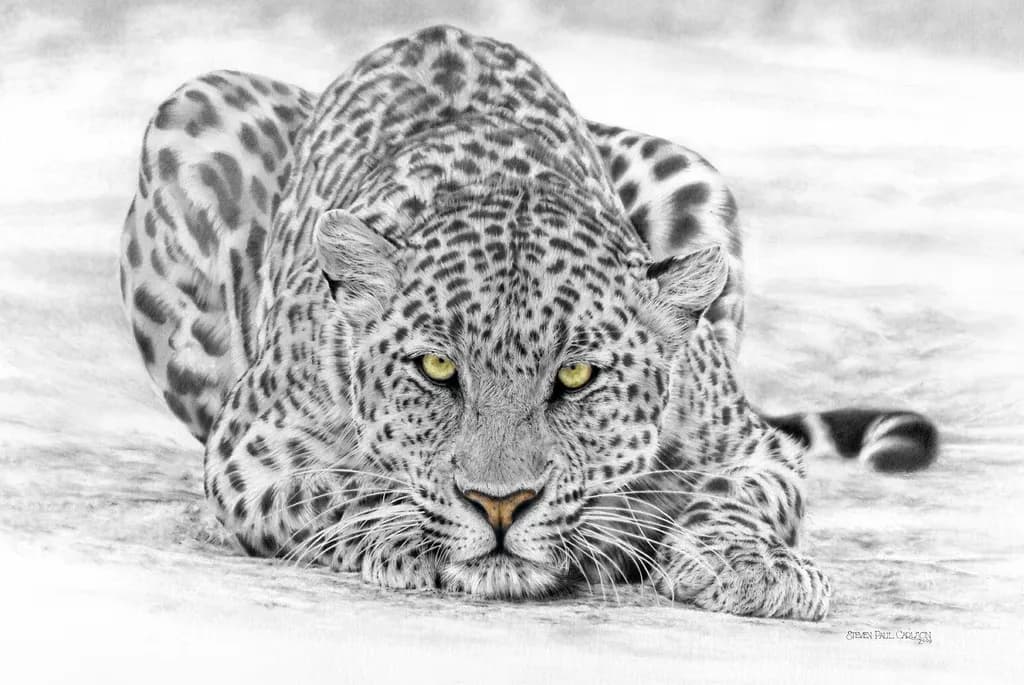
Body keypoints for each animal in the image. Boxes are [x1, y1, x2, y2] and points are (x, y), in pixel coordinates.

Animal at [119, 25, 937, 621]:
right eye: (437, 369)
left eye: (575, 376)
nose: (500, 506)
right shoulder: (247, 452)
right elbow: (335, 489)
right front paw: (410, 534)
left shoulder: (755, 449)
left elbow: (738, 501)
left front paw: (753, 566)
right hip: (194, 115)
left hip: (690, 172)